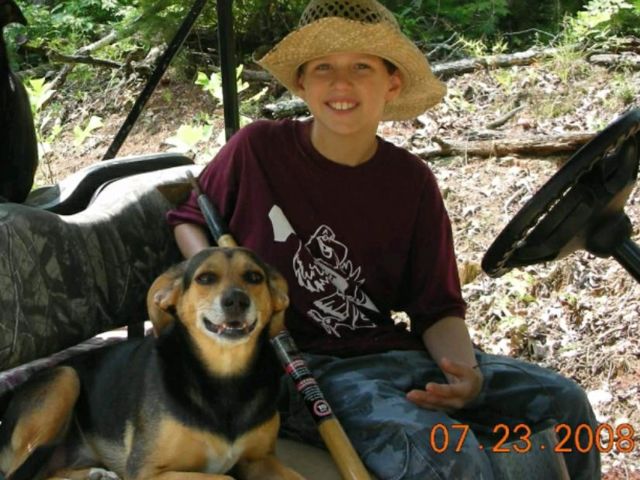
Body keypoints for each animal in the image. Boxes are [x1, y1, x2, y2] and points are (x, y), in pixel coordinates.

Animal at [0, 246, 304, 480]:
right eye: (205, 278)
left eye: (254, 277)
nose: (237, 300)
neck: (224, 378)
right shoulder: (146, 471)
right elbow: (226, 478)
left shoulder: (259, 460)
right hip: (65, 378)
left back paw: (94, 474)